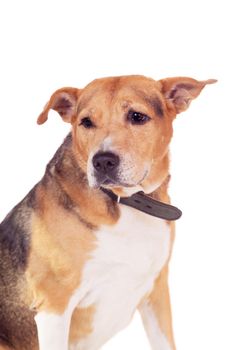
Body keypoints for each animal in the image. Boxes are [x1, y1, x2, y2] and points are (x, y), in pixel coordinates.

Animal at [0, 74, 216, 350]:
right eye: (86, 122)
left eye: (137, 116)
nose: (102, 161)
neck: (127, 203)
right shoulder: (54, 307)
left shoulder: (157, 292)